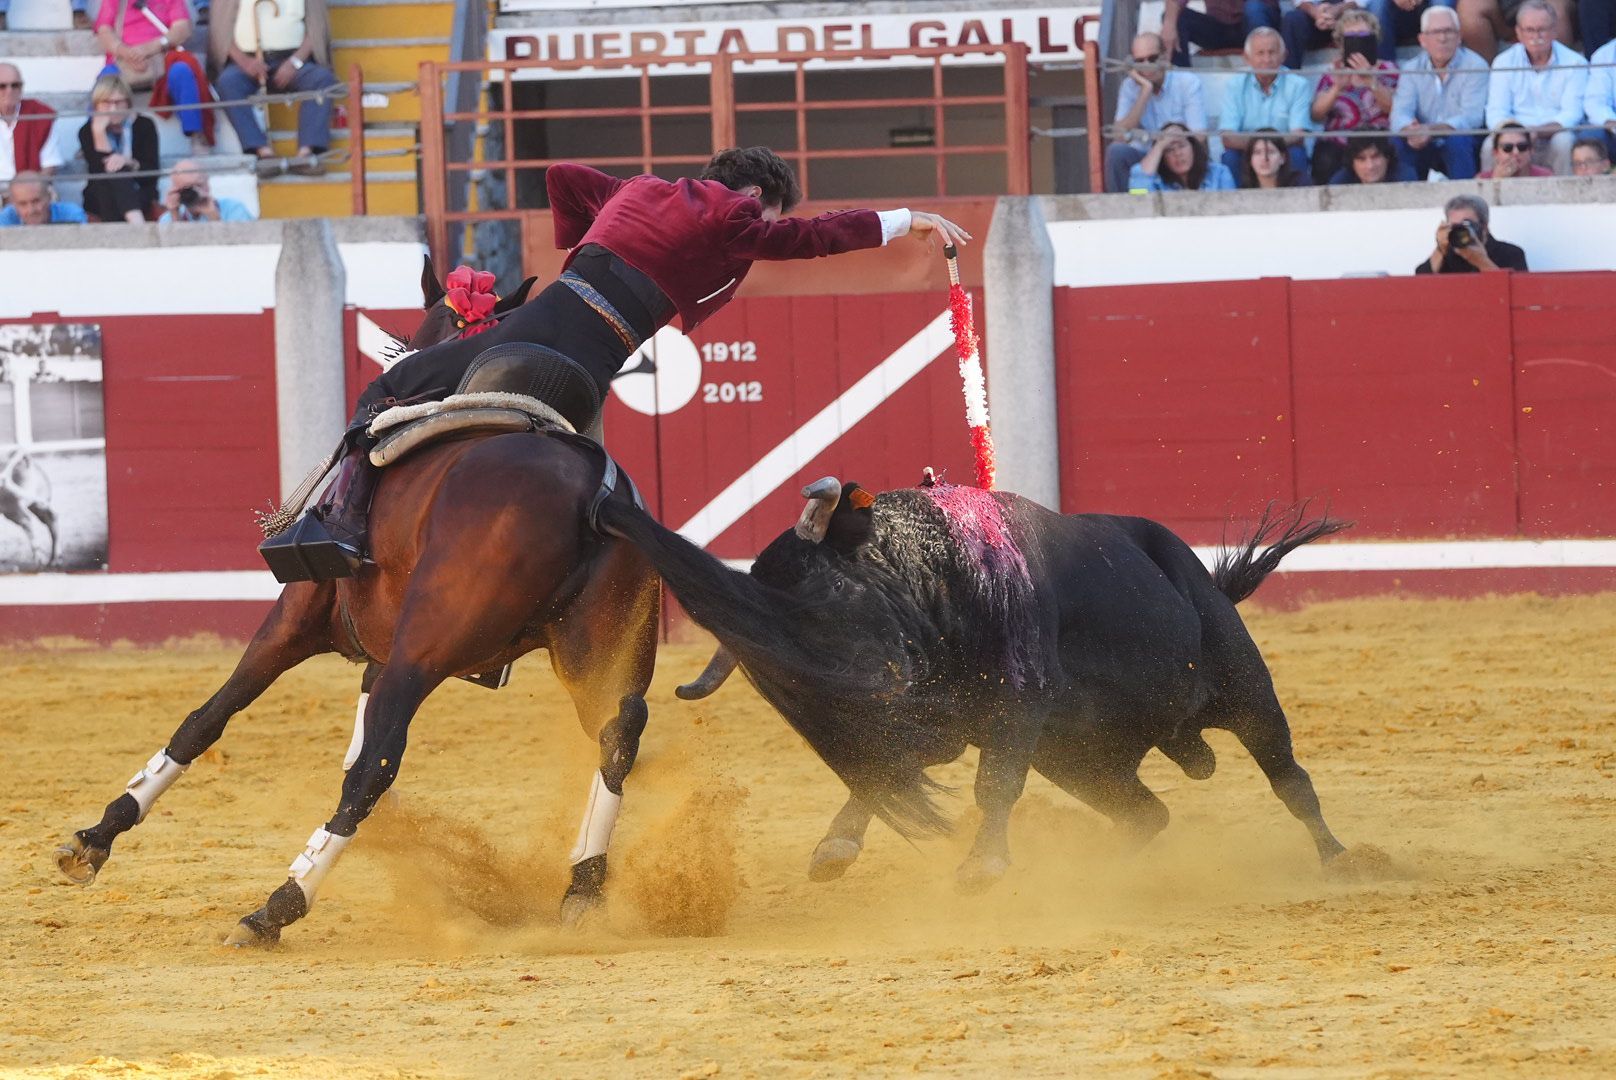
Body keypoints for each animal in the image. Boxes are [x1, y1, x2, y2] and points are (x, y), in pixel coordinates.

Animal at [56, 263, 662, 944]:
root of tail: (589, 493)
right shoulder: (376, 655)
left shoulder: (293, 622)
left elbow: (208, 717)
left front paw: (96, 837)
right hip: (594, 653)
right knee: (617, 732)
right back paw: (581, 888)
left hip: (423, 657)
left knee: (375, 765)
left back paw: (278, 904)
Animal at [601, 481, 1344, 892]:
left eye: (828, 591)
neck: (936, 574)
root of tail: (1205, 579)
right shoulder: (933, 720)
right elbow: (879, 775)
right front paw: (835, 848)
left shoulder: (1017, 700)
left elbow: (992, 784)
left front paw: (982, 866)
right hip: (1079, 760)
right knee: (1147, 813)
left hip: (1245, 689)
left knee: (1289, 777)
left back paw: (1341, 858)